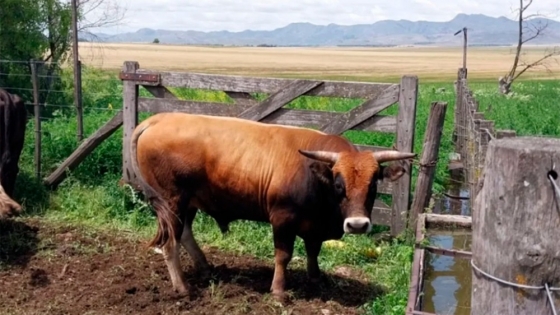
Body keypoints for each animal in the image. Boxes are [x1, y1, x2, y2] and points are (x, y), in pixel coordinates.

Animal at [128, 112, 416, 300]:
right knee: (170, 243)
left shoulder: (314, 226)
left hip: (188, 202)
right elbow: (283, 255)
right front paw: (278, 291)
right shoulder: (282, 219)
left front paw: (316, 279)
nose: (357, 225)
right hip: (172, 201)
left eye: (374, 183)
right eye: (338, 184)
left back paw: (206, 268)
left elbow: (313, 251)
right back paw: (183, 288)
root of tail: (159, 119)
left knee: (185, 234)